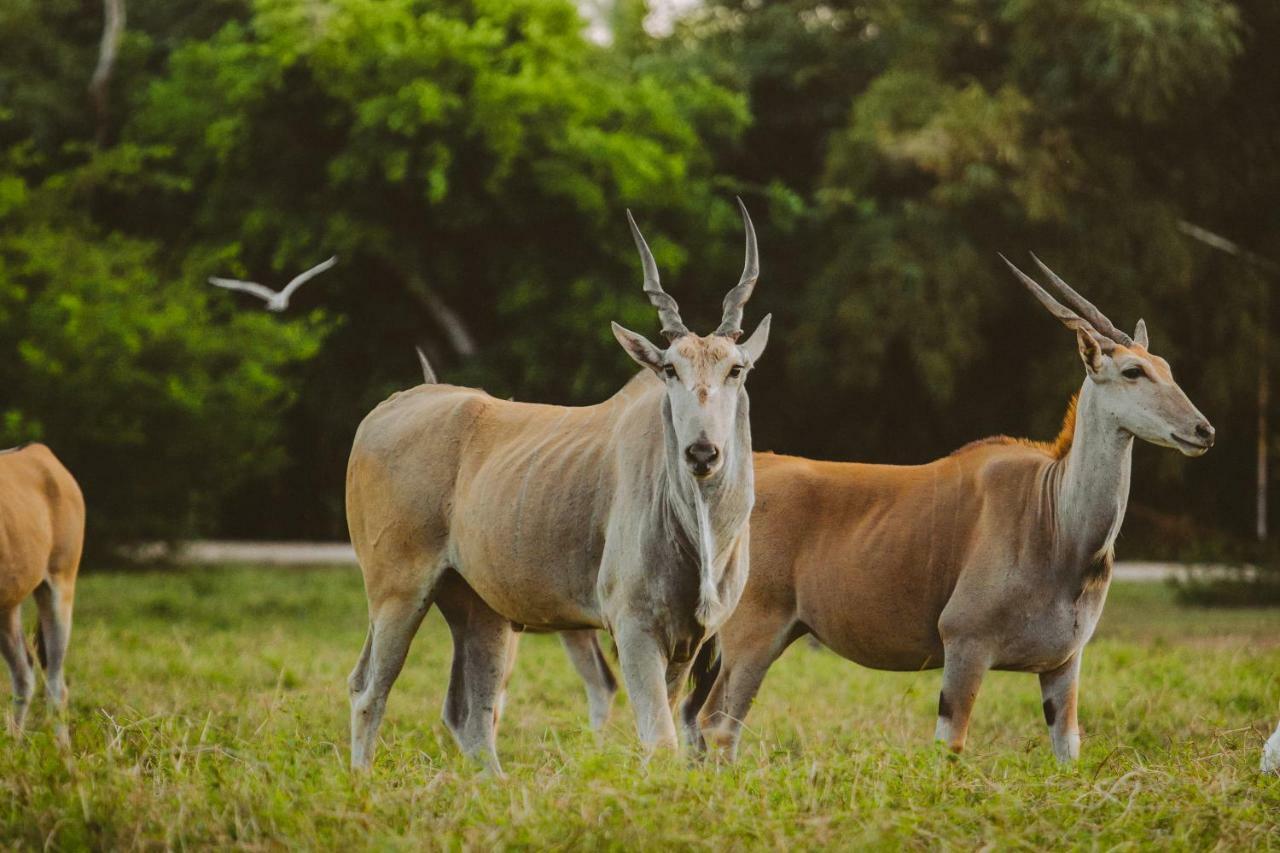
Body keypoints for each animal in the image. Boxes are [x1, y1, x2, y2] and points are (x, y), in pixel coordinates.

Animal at [0, 440, 84, 742]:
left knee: (56, 686)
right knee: (23, 674)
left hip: (60, 585)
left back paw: (62, 752)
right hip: (8, 606)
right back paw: (13, 744)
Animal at [345, 201, 768, 768]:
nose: (702, 452)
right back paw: (361, 780)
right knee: (370, 689)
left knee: (469, 713)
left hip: (479, 605)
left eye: (737, 370)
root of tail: (386, 409)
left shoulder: (688, 640)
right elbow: (659, 740)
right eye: (670, 370)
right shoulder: (633, 627)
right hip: (396, 588)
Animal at [568, 256, 1208, 758]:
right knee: (715, 725)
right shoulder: (965, 650)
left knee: (696, 723)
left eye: (1168, 369)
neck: (1054, 518)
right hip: (753, 639)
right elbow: (950, 747)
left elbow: (1066, 752)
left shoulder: (1062, 667)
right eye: (1133, 370)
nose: (1202, 430)